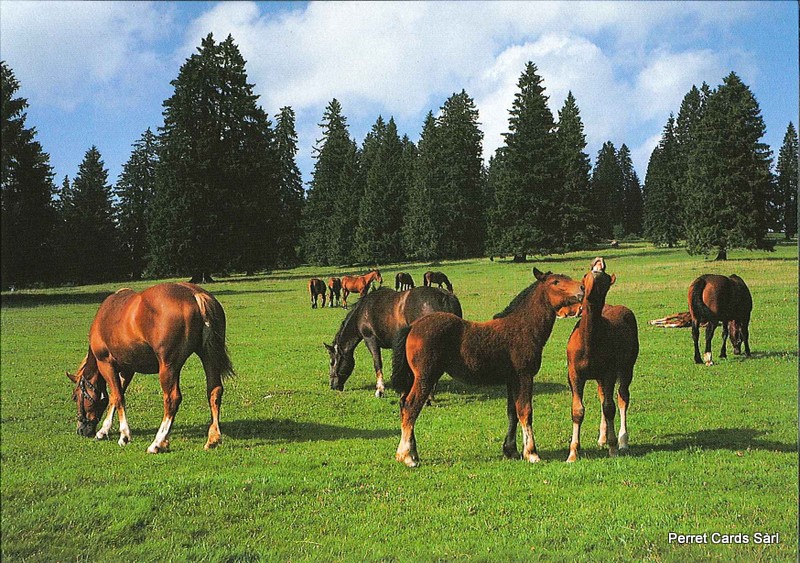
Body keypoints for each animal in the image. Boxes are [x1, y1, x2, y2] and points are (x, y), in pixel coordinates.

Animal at [67, 283, 234, 453]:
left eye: (75, 397)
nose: (81, 430)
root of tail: (195, 294)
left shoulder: (106, 364)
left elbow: (118, 397)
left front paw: (124, 435)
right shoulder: (127, 369)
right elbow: (114, 396)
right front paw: (104, 430)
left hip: (168, 366)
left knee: (172, 399)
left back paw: (158, 442)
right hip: (208, 356)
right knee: (214, 390)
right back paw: (213, 438)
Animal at [324, 286, 462, 397]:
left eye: (332, 362)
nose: (332, 385)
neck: (363, 311)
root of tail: (444, 297)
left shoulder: (370, 339)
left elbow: (377, 363)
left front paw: (380, 390)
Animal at [390, 268, 584, 467]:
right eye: (555, 282)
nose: (582, 288)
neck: (522, 328)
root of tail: (413, 327)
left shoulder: (511, 380)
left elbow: (512, 412)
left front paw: (511, 451)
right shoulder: (524, 376)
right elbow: (525, 411)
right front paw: (531, 453)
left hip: (414, 378)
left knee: (403, 404)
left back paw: (413, 453)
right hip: (425, 377)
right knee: (411, 407)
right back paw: (406, 457)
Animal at [565, 258, 639, 462]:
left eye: (605, 281)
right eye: (585, 277)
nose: (599, 261)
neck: (588, 341)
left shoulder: (609, 373)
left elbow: (609, 407)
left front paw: (613, 448)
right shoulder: (574, 375)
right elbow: (578, 410)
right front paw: (573, 453)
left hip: (626, 369)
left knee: (622, 397)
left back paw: (622, 441)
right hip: (598, 377)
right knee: (602, 396)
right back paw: (602, 438)